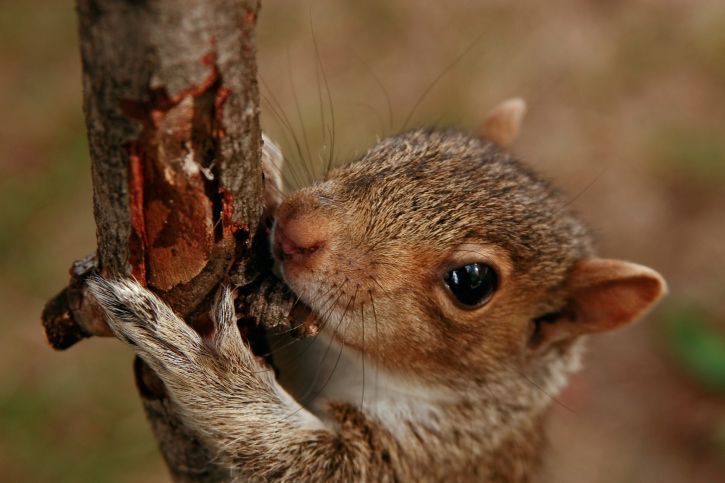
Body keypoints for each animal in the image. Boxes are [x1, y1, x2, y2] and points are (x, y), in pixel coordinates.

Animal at [88, 98, 666, 482]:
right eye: (399, 144)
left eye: (472, 283)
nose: (296, 229)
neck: (354, 362)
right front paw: (270, 178)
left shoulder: (424, 461)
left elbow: (307, 464)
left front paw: (212, 367)